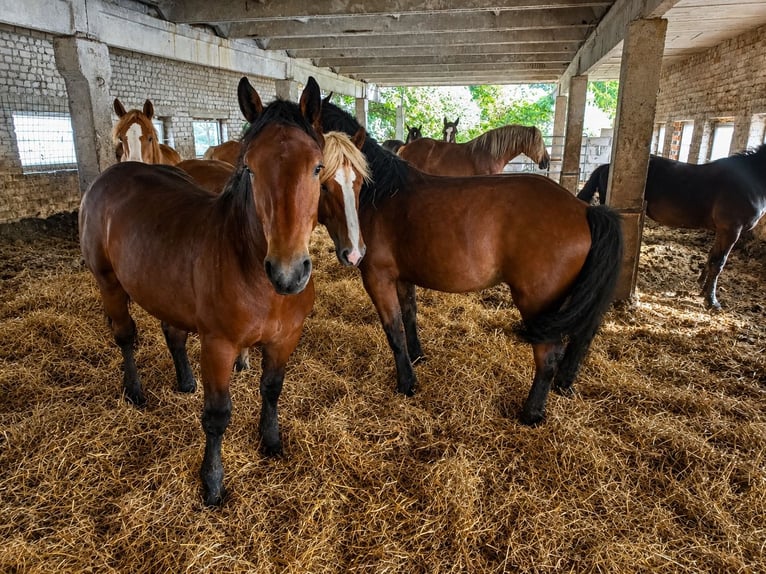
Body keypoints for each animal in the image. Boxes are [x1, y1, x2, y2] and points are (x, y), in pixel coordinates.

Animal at [81, 77, 325, 506]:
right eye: (250, 168)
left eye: (316, 167)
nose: (288, 272)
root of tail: (113, 174)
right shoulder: (219, 346)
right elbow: (217, 415)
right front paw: (212, 482)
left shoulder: (285, 340)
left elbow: (272, 390)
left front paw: (271, 442)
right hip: (108, 282)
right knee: (125, 337)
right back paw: (134, 392)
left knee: (172, 333)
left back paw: (184, 381)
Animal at [577, 147, 766, 309]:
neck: (751, 177)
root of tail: (606, 167)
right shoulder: (731, 229)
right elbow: (719, 262)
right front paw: (711, 301)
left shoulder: (722, 231)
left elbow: (712, 256)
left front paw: (702, 288)